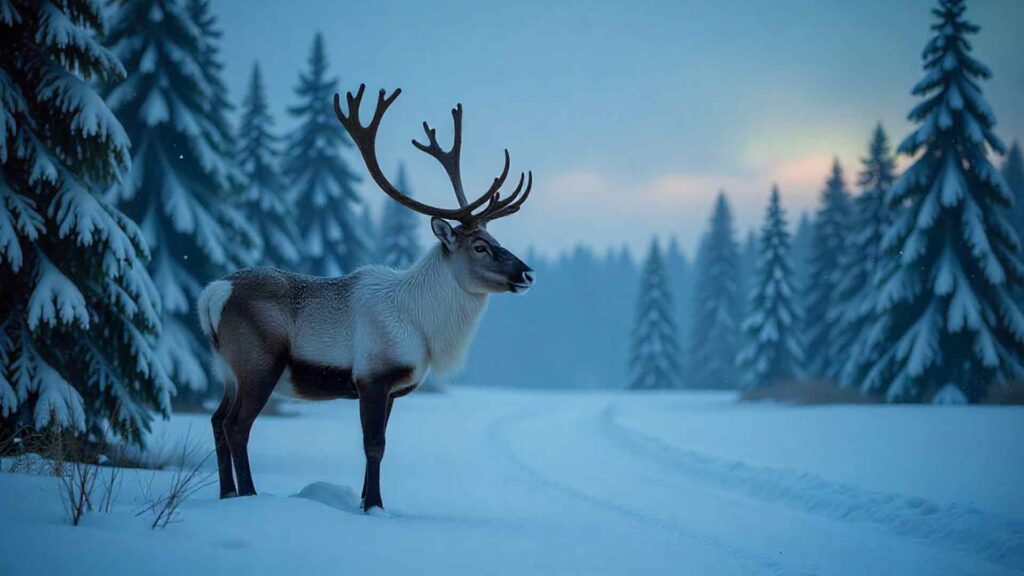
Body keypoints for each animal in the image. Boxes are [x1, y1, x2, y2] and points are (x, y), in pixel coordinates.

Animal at [196, 85, 534, 514]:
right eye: (479, 246)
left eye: (495, 239)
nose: (527, 273)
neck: (423, 326)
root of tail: (214, 293)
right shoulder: (372, 375)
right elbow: (374, 446)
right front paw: (374, 505)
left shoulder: (391, 389)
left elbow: (378, 446)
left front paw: (362, 501)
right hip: (258, 364)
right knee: (237, 426)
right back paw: (249, 495)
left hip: (226, 370)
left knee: (215, 421)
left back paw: (226, 493)